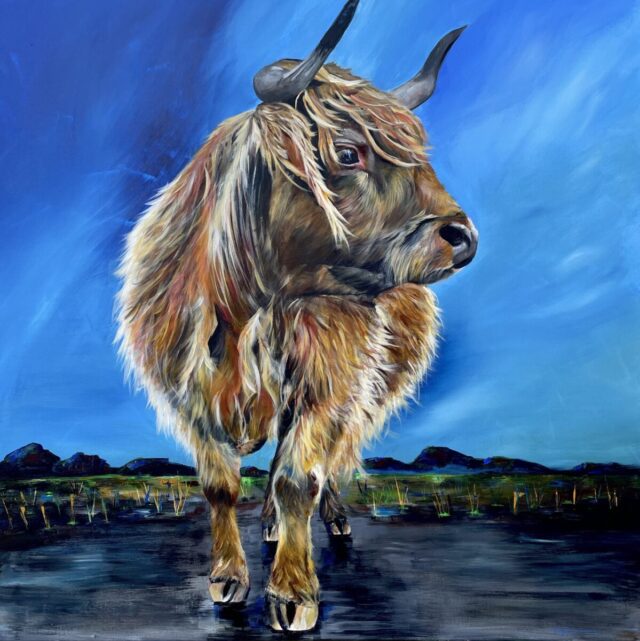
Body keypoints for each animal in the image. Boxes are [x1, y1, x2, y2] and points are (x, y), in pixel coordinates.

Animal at [116, 0, 477, 632]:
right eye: (349, 152)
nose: (461, 236)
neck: (248, 304)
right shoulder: (190, 392)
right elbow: (220, 485)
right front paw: (227, 577)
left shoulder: (328, 382)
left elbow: (295, 477)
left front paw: (293, 591)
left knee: (330, 459)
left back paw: (328, 521)